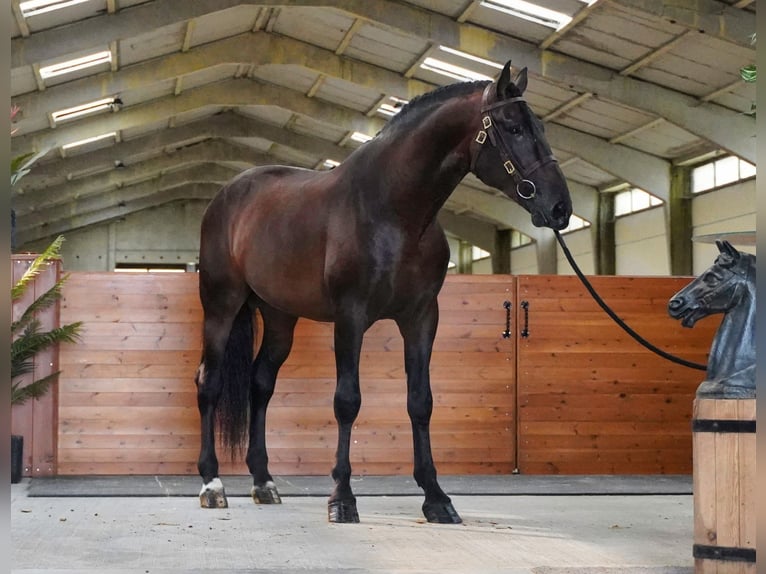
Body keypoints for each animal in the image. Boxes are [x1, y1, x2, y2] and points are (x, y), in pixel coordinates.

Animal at [195, 60, 572, 524]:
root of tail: (228, 196)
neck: (392, 211)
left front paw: (436, 498)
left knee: (260, 383)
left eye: (540, 127)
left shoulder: (422, 317)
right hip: (221, 305)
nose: (560, 207)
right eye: (514, 127)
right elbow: (347, 400)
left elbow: (420, 401)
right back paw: (212, 484)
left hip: (280, 316)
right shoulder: (351, 316)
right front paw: (342, 499)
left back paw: (264, 483)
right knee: (209, 383)